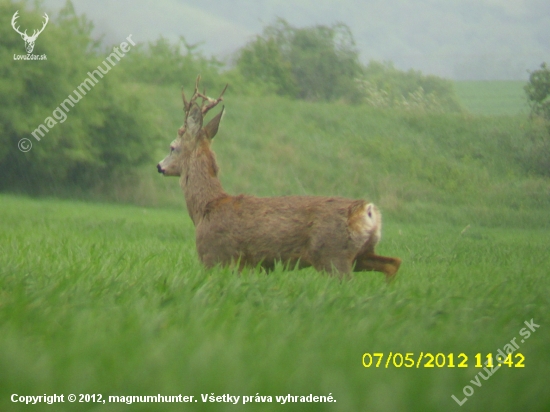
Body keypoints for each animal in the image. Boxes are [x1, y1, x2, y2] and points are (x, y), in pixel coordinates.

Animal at [157, 77, 404, 282]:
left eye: (172, 147)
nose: (160, 166)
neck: (206, 207)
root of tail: (367, 210)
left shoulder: (215, 255)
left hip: (332, 254)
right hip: (361, 254)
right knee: (394, 263)